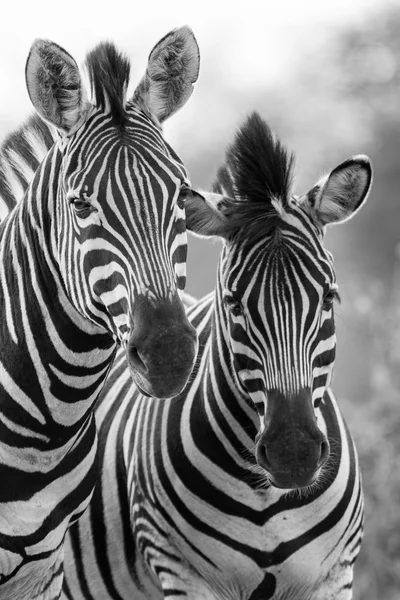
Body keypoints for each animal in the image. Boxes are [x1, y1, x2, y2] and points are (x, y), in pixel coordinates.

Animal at [61, 113, 372, 600]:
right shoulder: (183, 572)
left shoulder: (334, 576)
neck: (269, 502)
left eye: (329, 298)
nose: (294, 453)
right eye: (234, 304)